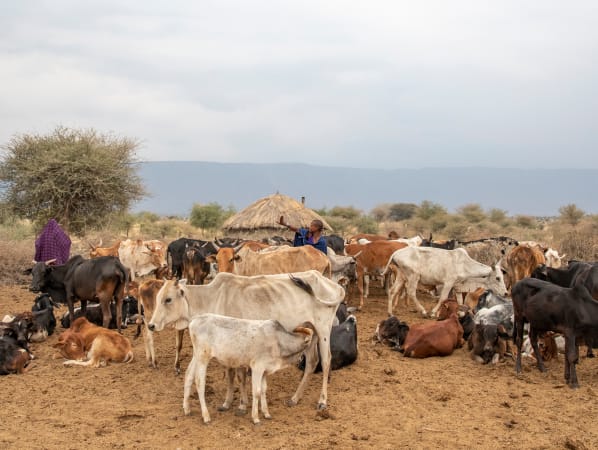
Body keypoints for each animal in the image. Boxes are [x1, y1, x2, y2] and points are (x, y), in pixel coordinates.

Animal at [149, 268, 346, 410]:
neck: (212, 298)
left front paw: (238, 404)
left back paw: (322, 401)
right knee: (312, 363)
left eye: (168, 299)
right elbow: (234, 375)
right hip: (312, 332)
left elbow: (237, 375)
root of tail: (332, 284)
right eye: (157, 298)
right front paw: (232, 402)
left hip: (323, 330)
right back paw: (295, 398)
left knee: (326, 361)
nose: (151, 325)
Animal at [184, 312, 316, 426]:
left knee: (188, 376)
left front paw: (266, 413)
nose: (302, 362)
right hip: (203, 357)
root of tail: (195, 320)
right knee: (199, 382)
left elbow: (263, 390)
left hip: (196, 356)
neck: (278, 341)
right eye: (309, 345)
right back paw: (206, 416)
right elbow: (256, 392)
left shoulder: (264, 371)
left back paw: (187, 409)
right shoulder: (257, 367)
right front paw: (256, 418)